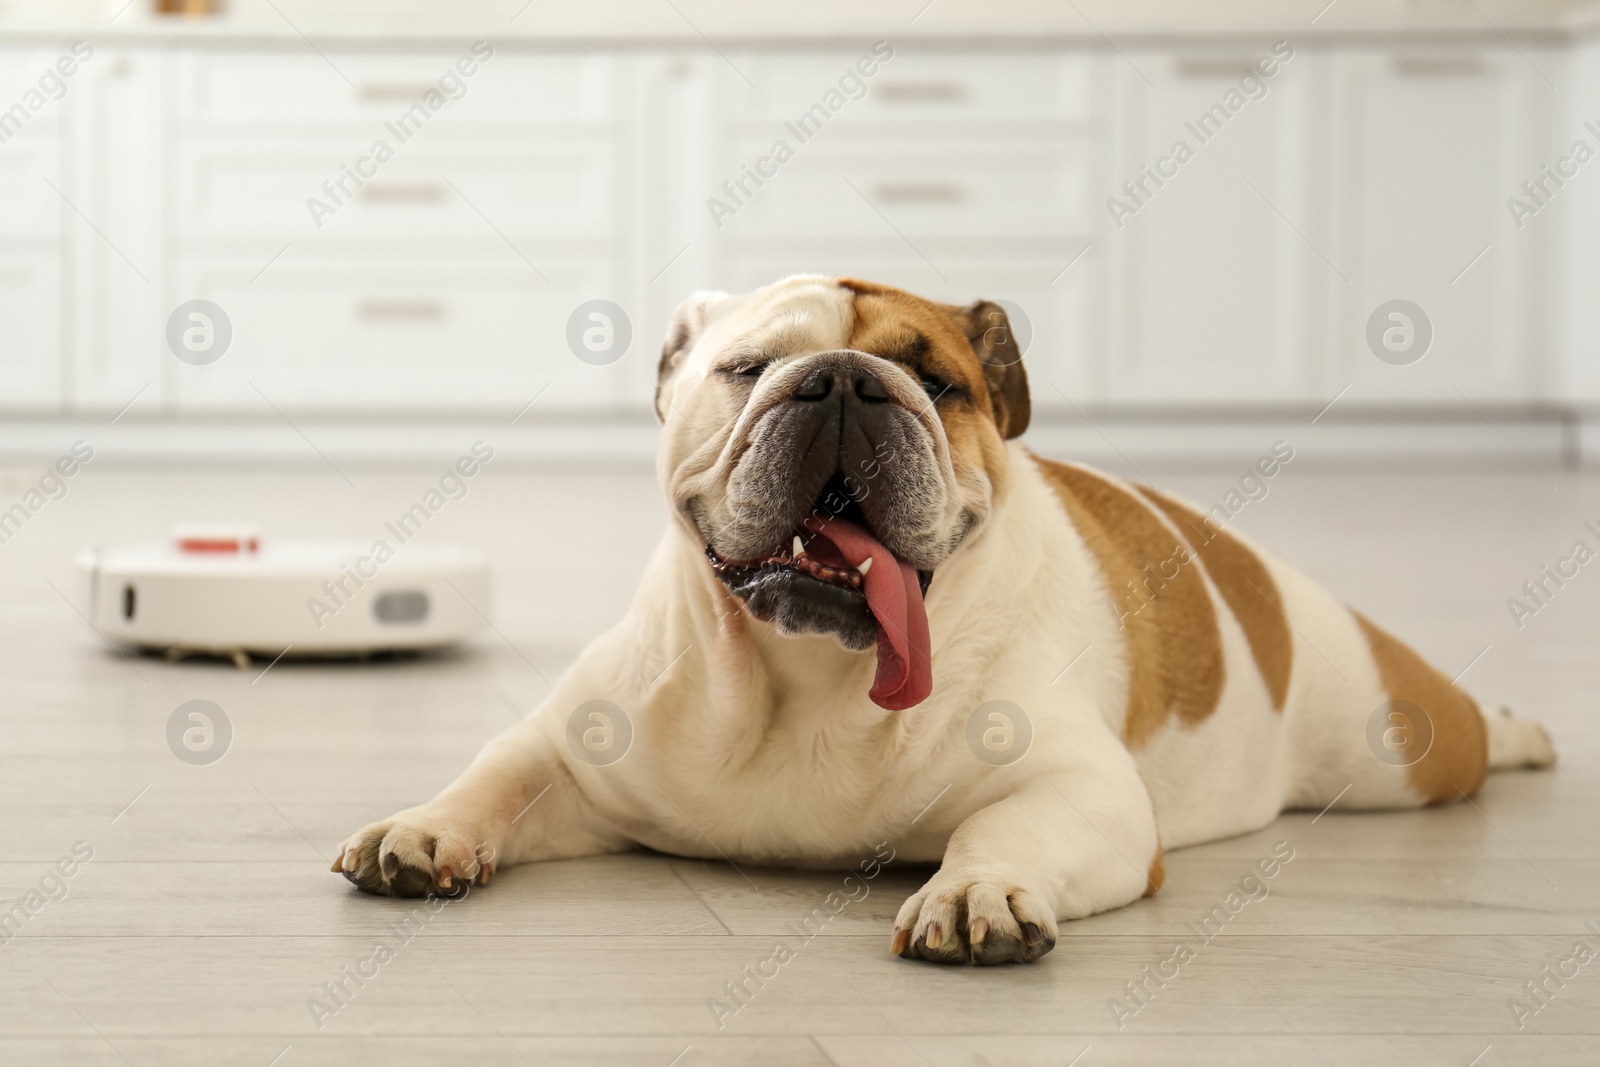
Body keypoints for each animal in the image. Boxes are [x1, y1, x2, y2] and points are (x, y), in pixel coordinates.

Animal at [334, 271, 1548, 966]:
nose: (839, 379)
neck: (803, 676)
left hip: (1394, 742)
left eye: (944, 382)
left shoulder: (1085, 790)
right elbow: (496, 773)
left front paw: (974, 890)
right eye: (746, 366)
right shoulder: (570, 746)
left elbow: (1006, 827)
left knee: (1457, 733)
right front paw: (422, 827)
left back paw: (1524, 731)